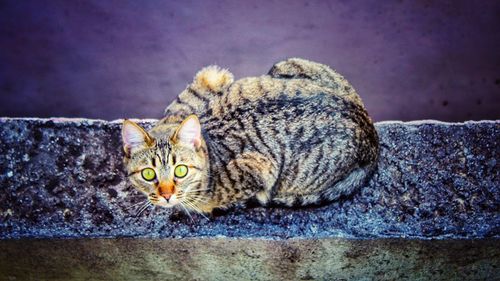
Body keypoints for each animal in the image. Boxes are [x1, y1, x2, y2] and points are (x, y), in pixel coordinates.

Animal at [122, 58, 378, 213]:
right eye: (148, 174)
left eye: (181, 171)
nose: (166, 195)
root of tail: (372, 136)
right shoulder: (211, 76)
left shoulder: (261, 166)